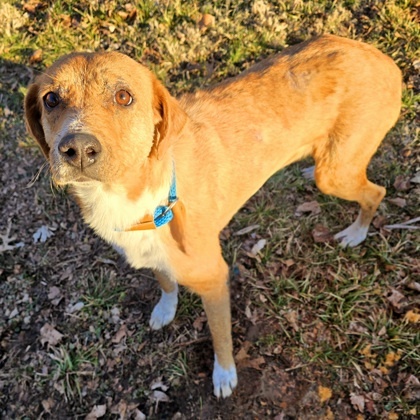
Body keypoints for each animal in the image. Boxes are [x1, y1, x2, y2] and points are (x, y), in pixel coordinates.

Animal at [24, 35, 402, 398]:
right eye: (51, 99)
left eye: (123, 96)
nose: (77, 149)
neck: (143, 198)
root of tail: (383, 59)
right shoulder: (153, 254)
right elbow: (165, 280)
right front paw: (166, 309)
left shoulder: (215, 280)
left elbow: (221, 336)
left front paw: (224, 375)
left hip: (336, 174)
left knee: (376, 192)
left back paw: (356, 232)